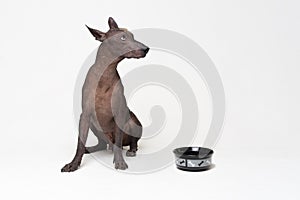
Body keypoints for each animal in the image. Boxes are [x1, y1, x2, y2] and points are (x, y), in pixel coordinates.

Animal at [61, 17, 149, 172]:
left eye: (132, 36)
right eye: (122, 38)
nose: (146, 49)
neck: (106, 73)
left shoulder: (119, 115)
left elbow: (119, 143)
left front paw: (119, 162)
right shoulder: (85, 116)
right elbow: (80, 143)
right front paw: (73, 164)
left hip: (132, 122)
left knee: (130, 142)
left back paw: (131, 150)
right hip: (93, 124)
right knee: (101, 144)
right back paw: (90, 149)